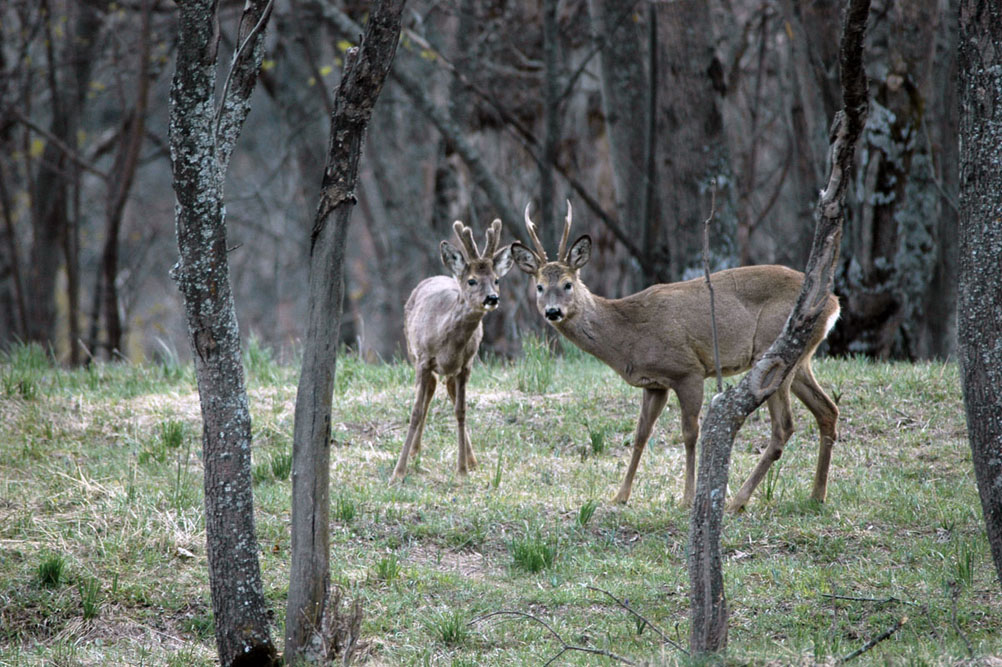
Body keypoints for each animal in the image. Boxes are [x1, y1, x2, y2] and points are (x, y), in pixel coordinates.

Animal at [388, 218, 513, 482]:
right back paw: (414, 451)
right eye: (472, 280)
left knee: (447, 388)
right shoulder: (424, 359)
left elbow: (461, 410)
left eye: (496, 279)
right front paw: (398, 472)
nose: (492, 298)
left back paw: (471, 459)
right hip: (411, 351)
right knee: (429, 390)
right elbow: (415, 411)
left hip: (455, 368)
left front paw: (462, 469)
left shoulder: (466, 364)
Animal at [509, 201, 837, 508]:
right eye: (539, 287)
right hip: (800, 361)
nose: (553, 312)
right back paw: (817, 495)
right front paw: (620, 496)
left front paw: (688, 497)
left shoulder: (688, 369)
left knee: (784, 427)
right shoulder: (655, 384)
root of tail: (833, 303)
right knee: (827, 410)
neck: (627, 334)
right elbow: (641, 433)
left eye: (568, 284)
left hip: (774, 355)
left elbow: (690, 433)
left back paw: (738, 501)